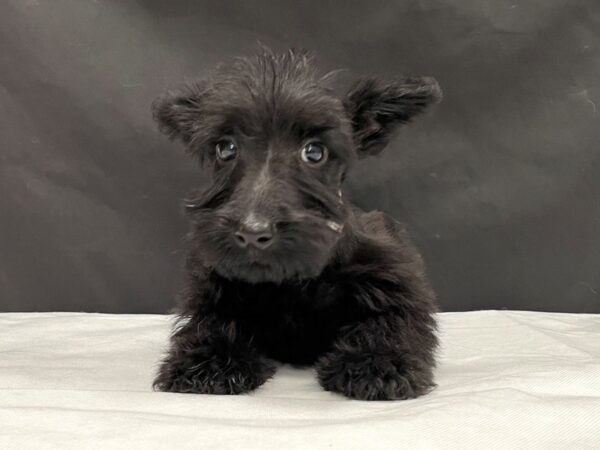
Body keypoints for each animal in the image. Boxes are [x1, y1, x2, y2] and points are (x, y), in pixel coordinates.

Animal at [151, 49, 440, 400]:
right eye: (225, 148)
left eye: (314, 152)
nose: (253, 233)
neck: (292, 280)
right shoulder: (212, 284)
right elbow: (210, 321)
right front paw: (207, 361)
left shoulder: (392, 274)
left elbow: (390, 319)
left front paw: (378, 363)